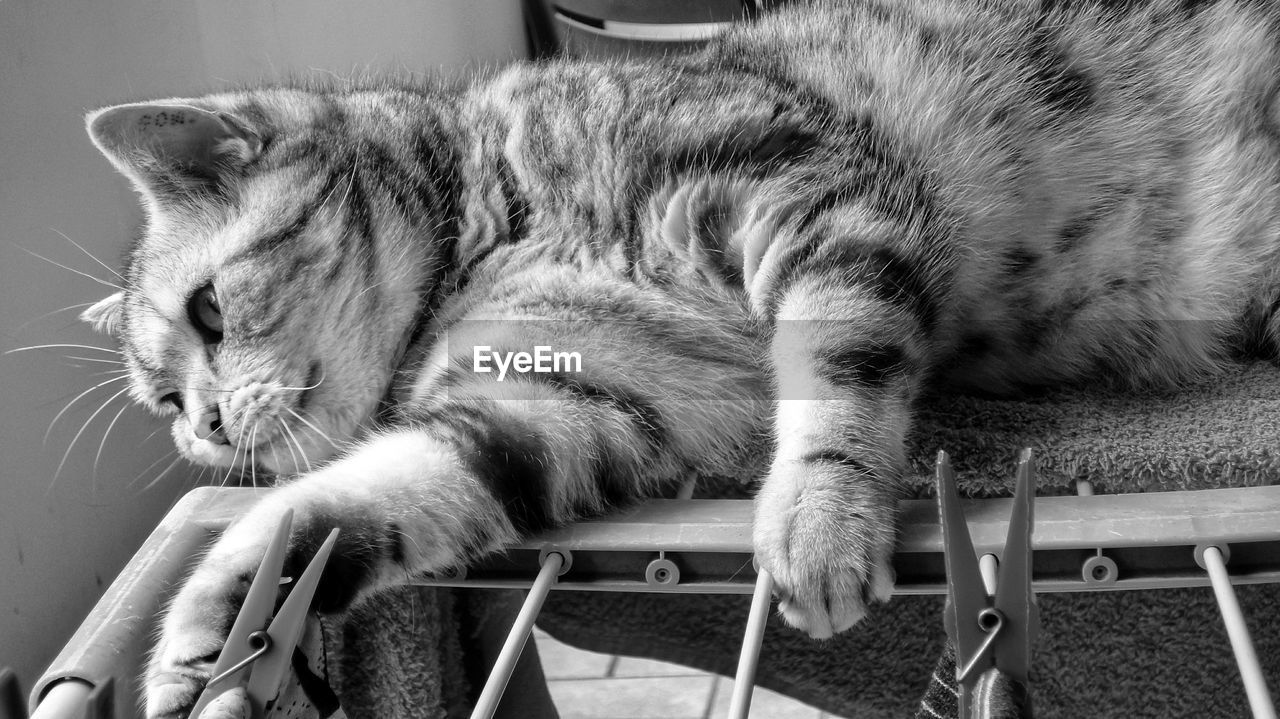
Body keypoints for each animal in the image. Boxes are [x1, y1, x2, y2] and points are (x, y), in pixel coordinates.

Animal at [82, 2, 1280, 711]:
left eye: (210, 310)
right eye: (165, 401)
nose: (208, 430)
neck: (494, 223)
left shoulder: (796, 182)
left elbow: (837, 365)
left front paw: (818, 515)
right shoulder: (568, 402)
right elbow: (350, 504)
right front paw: (208, 628)